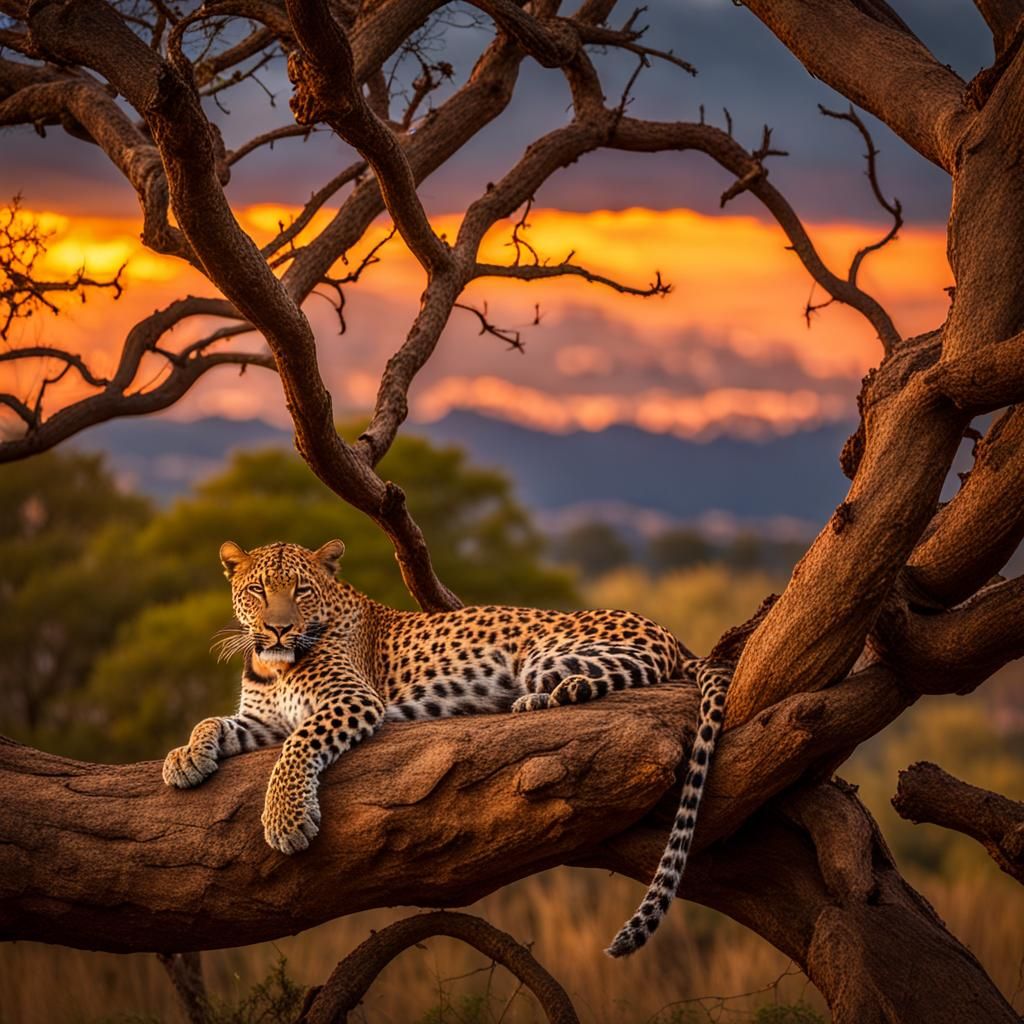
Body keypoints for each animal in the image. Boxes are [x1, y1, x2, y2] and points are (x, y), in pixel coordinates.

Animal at [162, 539, 730, 956]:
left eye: (300, 591)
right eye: (257, 590)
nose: (278, 628)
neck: (273, 664)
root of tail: (670, 632)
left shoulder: (351, 700)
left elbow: (298, 747)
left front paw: (286, 821)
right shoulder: (262, 720)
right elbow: (212, 722)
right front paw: (184, 759)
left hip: (549, 653)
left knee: (624, 676)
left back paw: (549, 697)